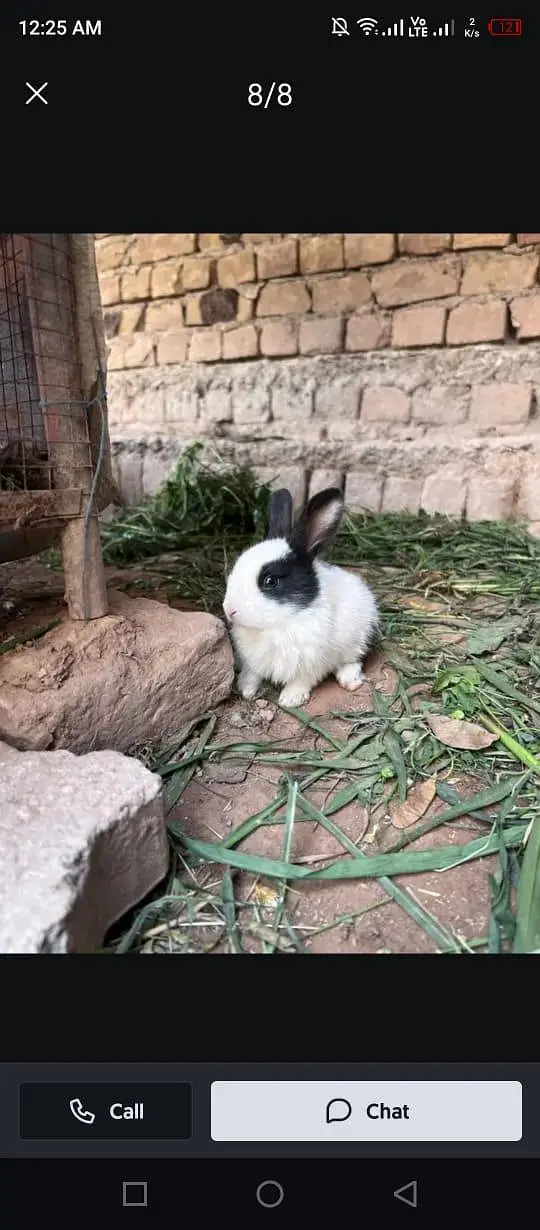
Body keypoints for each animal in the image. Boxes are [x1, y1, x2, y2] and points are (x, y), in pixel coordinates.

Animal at [222, 485, 379, 709]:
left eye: (270, 581)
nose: (229, 609)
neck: (277, 624)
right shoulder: (253, 659)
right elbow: (253, 673)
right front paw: (245, 689)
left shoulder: (312, 662)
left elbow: (302, 679)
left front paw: (290, 699)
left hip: (361, 637)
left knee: (355, 659)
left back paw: (349, 680)